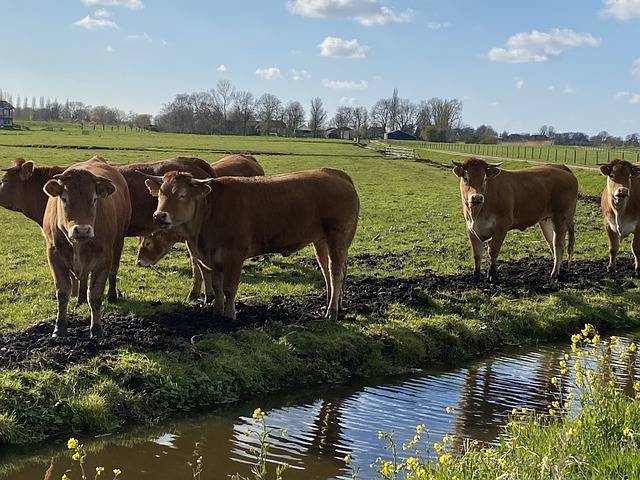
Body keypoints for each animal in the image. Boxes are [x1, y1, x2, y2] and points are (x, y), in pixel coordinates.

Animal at [42, 157, 131, 338]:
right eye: (64, 199)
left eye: (95, 199)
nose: (82, 230)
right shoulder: (54, 255)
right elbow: (63, 293)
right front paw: (59, 327)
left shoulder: (104, 258)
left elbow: (95, 295)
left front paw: (96, 328)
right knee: (82, 278)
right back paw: (80, 299)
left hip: (118, 243)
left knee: (113, 271)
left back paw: (112, 295)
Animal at [135, 154, 264, 300]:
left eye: (148, 243)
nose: (139, 262)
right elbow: (197, 264)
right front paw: (196, 291)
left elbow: (202, 267)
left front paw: (208, 293)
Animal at [142, 167, 360, 320]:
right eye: (160, 194)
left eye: (182, 195)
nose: (159, 215)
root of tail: (337, 174)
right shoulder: (211, 258)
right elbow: (217, 286)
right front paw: (217, 312)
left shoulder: (234, 256)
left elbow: (229, 289)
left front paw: (230, 316)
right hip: (321, 241)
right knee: (327, 272)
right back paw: (330, 304)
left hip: (338, 238)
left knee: (335, 273)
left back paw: (332, 311)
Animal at [450, 158, 580, 282]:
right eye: (466, 178)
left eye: (485, 178)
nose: (477, 197)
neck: (477, 213)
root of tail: (562, 168)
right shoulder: (471, 228)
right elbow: (476, 253)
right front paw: (476, 276)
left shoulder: (502, 226)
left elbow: (493, 250)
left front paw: (492, 275)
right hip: (546, 220)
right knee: (551, 242)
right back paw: (559, 269)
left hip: (561, 218)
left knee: (559, 245)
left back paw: (554, 274)